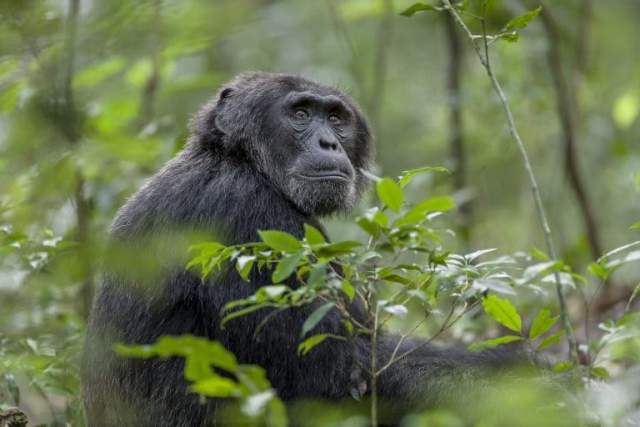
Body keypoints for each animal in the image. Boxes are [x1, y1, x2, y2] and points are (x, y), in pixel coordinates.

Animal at [82, 73, 516, 427]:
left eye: (337, 118)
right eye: (301, 113)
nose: (329, 142)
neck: (240, 162)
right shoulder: (251, 224)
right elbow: (338, 372)